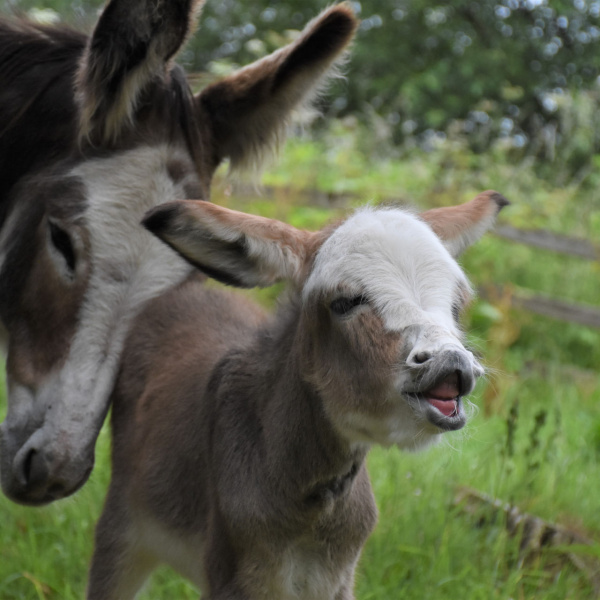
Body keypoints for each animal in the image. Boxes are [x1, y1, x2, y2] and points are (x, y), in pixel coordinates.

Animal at [89, 191, 508, 596]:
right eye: (345, 302)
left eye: (455, 306)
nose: (451, 364)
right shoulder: (236, 575)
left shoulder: (336, 580)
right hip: (122, 531)